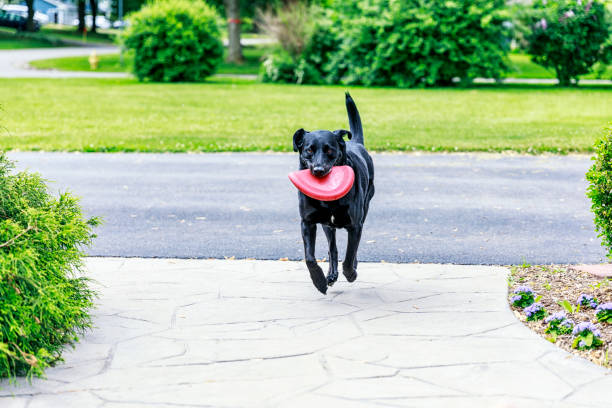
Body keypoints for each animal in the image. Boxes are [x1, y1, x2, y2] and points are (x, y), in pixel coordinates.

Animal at [292, 93, 372, 294]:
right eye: (309, 150)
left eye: (330, 150)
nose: (318, 170)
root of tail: (354, 142)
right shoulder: (307, 222)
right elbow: (310, 258)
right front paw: (319, 281)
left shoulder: (355, 225)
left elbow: (350, 255)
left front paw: (351, 273)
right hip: (327, 225)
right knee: (332, 248)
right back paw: (331, 275)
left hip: (365, 209)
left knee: (352, 251)